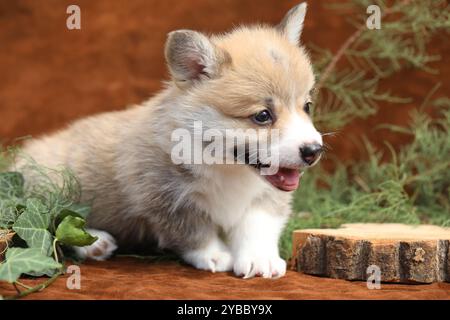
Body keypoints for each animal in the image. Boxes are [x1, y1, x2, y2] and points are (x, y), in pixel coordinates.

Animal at [17, 1, 322, 278]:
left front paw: (260, 260)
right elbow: (194, 232)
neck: (227, 169)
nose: (314, 151)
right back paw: (94, 243)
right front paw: (215, 256)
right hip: (54, 187)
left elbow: (257, 226)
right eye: (262, 115)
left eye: (307, 106)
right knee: (55, 222)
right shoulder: (167, 199)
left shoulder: (264, 197)